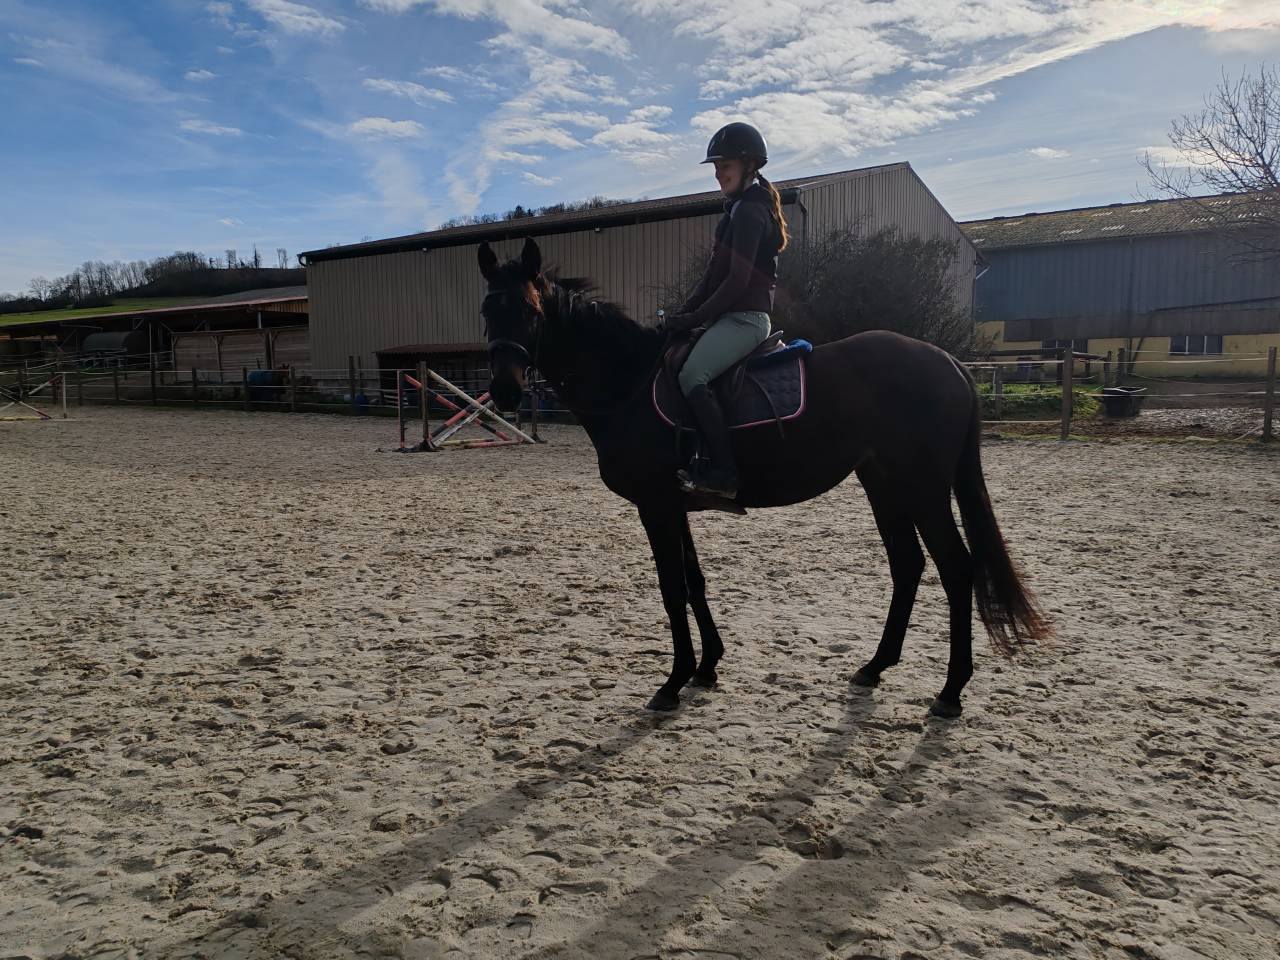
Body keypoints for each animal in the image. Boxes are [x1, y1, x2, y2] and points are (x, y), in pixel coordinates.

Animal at [479, 237, 1050, 718]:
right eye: (487, 311)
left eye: (530, 311)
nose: (504, 392)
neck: (630, 381)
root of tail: (949, 361)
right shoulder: (676, 505)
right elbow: (694, 581)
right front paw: (707, 667)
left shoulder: (656, 506)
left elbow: (671, 588)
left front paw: (673, 681)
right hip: (883, 484)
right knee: (907, 564)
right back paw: (875, 667)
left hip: (924, 488)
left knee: (957, 569)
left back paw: (951, 691)